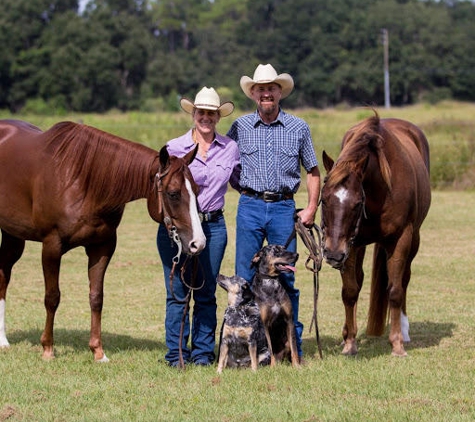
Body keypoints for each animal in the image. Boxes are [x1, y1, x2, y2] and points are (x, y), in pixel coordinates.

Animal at [0, 119, 206, 362]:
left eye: (197, 190)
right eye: (173, 193)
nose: (198, 243)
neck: (82, 180)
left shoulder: (102, 247)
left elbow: (96, 297)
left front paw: (98, 352)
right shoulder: (51, 246)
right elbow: (52, 297)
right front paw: (48, 349)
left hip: (13, 235)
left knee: (3, 275)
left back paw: (3, 340)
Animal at [322, 112, 434, 356]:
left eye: (357, 203)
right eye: (323, 200)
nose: (333, 255)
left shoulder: (401, 238)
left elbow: (395, 290)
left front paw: (397, 344)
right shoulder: (352, 243)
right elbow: (350, 290)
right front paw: (350, 342)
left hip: (414, 239)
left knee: (404, 279)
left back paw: (404, 332)